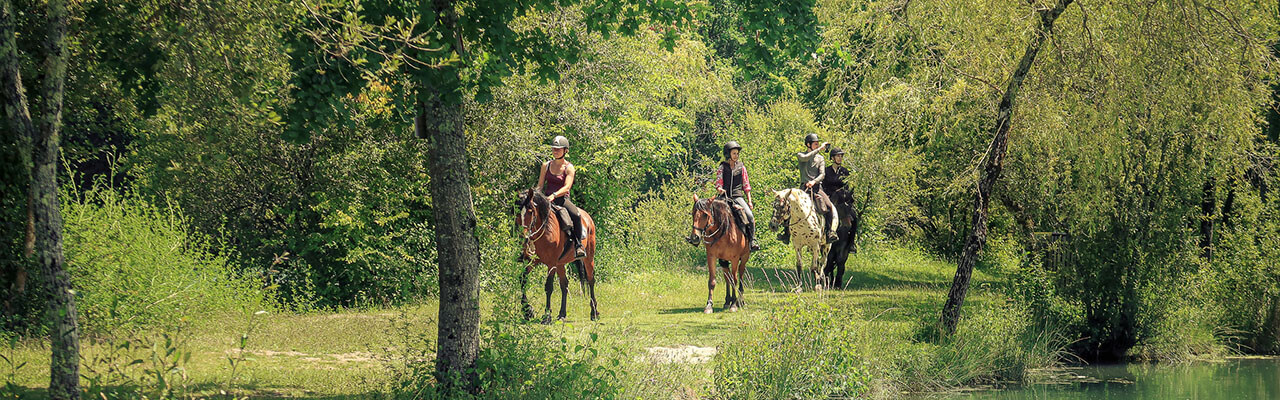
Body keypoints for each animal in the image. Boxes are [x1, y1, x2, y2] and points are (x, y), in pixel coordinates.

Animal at [514, 188, 599, 323]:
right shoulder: (532, 261)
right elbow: (523, 280)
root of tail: (588, 218)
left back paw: (594, 312)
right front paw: (527, 311)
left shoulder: (551, 264)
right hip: (561, 264)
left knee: (591, 280)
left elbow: (548, 287)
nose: (524, 237)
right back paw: (562, 314)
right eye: (517, 211)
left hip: (588, 258)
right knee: (564, 285)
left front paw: (546, 316)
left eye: (530, 211)